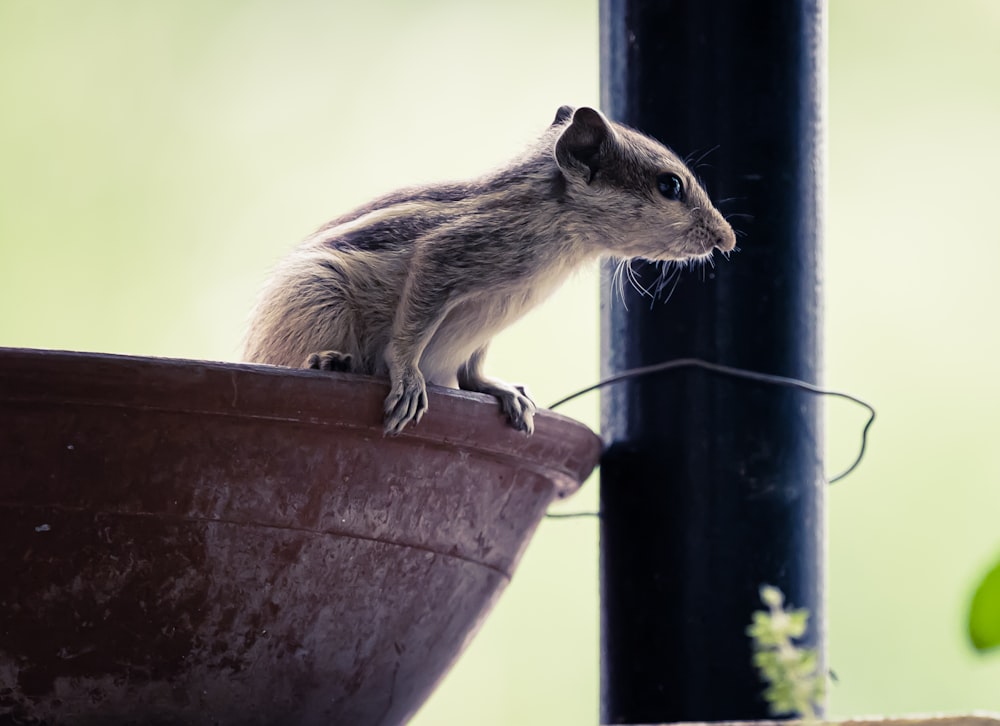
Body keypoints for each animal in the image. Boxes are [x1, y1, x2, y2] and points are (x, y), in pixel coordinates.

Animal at [246, 105, 740, 436]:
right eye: (670, 185)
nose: (728, 240)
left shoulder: (490, 317)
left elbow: (472, 372)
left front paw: (499, 389)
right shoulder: (450, 255)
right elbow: (412, 327)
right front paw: (407, 376)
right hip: (316, 293)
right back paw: (331, 360)